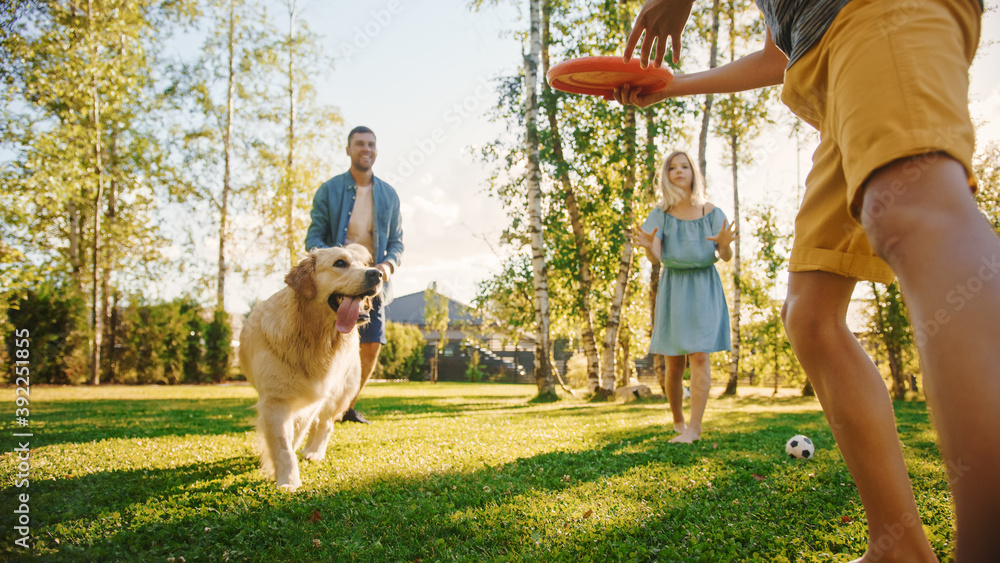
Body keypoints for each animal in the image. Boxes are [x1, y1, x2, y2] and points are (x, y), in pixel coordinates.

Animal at [238, 245, 382, 492]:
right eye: (340, 263)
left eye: (365, 265)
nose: (377, 274)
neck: (313, 335)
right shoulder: (274, 401)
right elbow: (283, 443)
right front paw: (287, 478)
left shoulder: (311, 398)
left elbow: (292, 437)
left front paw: (284, 474)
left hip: (335, 392)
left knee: (325, 424)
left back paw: (314, 451)